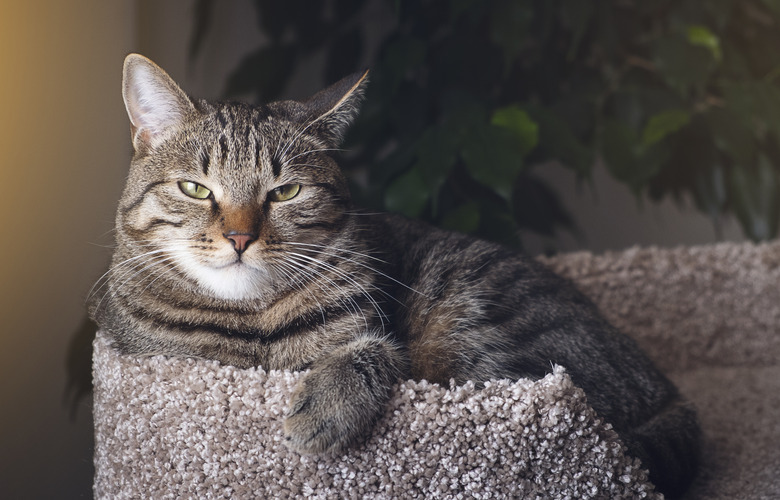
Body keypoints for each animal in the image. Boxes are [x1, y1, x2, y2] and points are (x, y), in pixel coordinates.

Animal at [90, 52, 700, 498]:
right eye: (195, 188)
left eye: (286, 191)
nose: (241, 238)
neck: (254, 326)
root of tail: (664, 387)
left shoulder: (391, 345)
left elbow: (371, 350)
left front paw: (325, 404)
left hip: (481, 329)